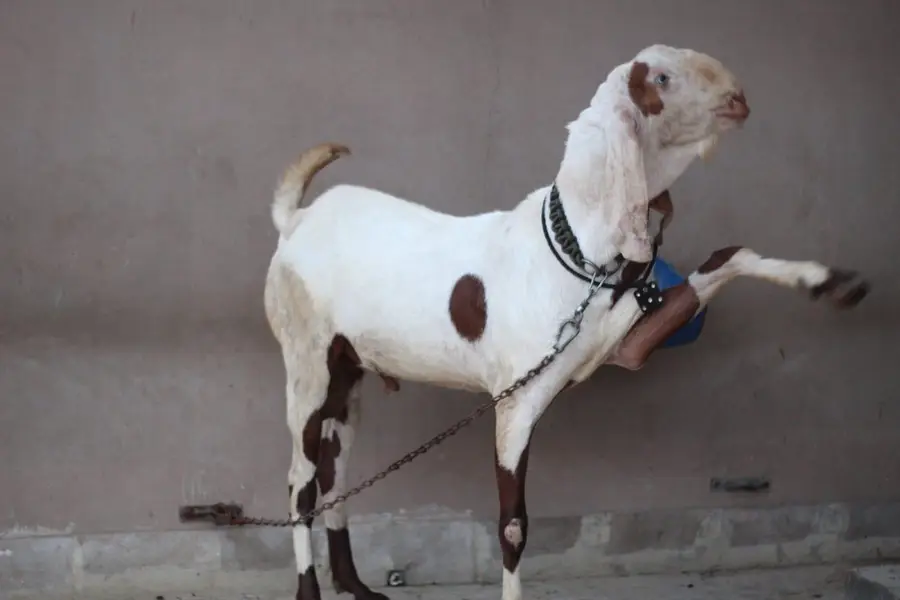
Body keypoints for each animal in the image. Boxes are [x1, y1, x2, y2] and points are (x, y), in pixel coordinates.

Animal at [263, 44, 869, 600]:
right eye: (661, 79)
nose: (738, 99)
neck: (577, 250)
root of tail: (296, 218)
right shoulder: (515, 401)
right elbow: (512, 526)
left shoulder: (624, 339)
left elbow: (728, 257)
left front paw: (831, 282)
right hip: (306, 359)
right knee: (300, 482)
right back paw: (309, 589)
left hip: (347, 368)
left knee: (336, 472)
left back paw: (354, 583)